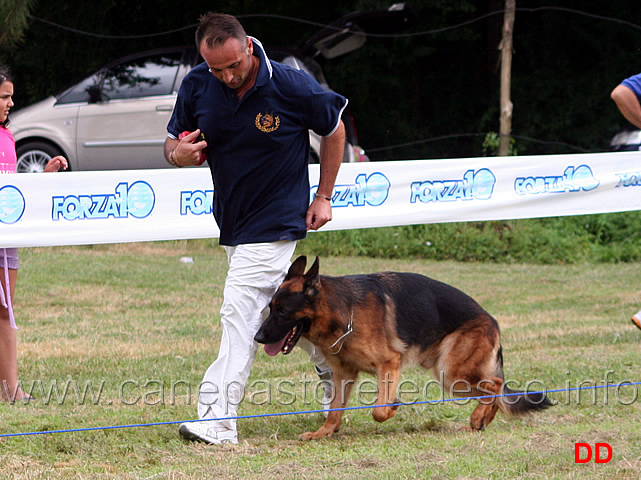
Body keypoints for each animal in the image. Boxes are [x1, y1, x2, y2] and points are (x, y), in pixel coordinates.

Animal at [254, 256, 552, 440]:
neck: (343, 310)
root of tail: (491, 319)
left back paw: (479, 416)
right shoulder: (343, 374)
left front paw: (393, 407)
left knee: (495, 385)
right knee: (493, 389)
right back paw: (482, 421)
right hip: (450, 375)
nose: (257, 337)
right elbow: (335, 408)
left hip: (451, 372)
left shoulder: (389, 363)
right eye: (271, 307)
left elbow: (378, 409)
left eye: (282, 311)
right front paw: (324, 432)